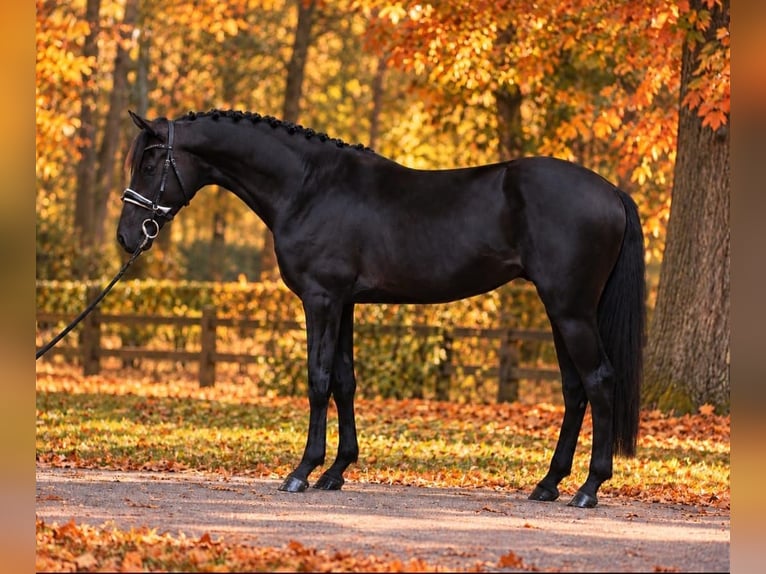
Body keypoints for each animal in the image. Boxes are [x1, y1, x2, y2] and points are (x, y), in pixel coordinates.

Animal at [117, 109, 645, 508]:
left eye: (150, 164)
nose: (126, 236)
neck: (308, 187)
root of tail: (611, 192)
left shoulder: (321, 299)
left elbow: (318, 380)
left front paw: (302, 471)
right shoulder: (344, 303)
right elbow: (345, 381)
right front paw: (335, 471)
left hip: (571, 310)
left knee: (599, 380)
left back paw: (588, 488)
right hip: (561, 312)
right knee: (575, 390)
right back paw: (548, 483)